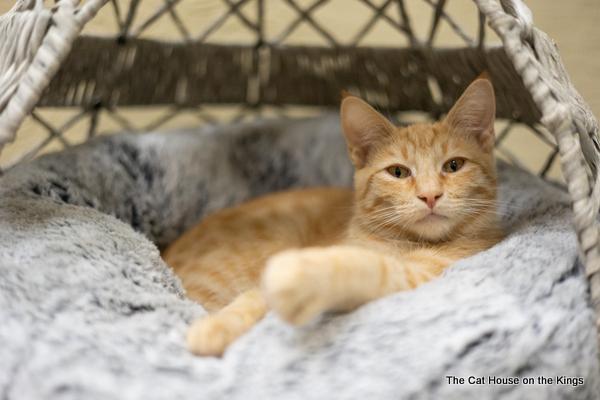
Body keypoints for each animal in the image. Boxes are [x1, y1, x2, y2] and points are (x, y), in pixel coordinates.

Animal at [163, 78, 502, 356]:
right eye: (398, 172)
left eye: (454, 165)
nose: (430, 196)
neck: (404, 242)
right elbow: (254, 297)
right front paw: (217, 327)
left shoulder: (418, 275)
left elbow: (362, 266)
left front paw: (304, 277)